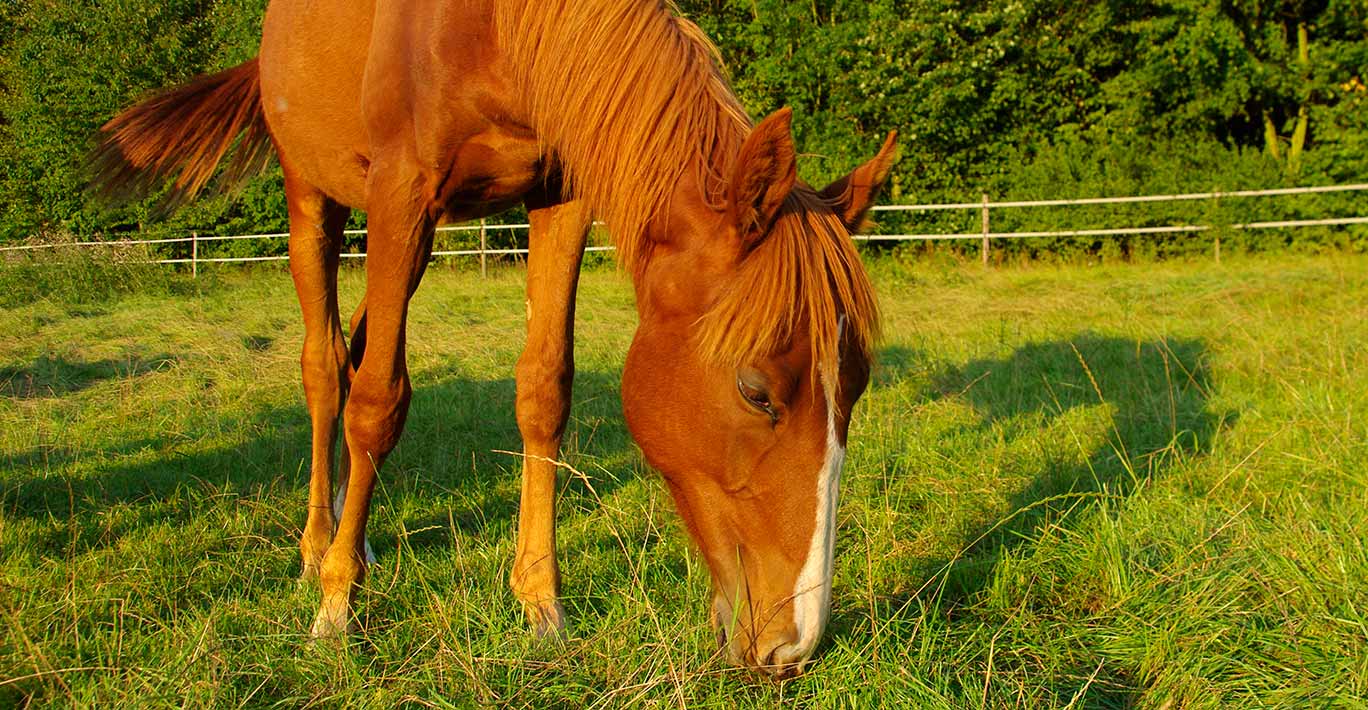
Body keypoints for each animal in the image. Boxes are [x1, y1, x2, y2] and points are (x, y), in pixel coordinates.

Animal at [90, 0, 891, 678]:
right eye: (757, 392)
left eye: (858, 390)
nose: (795, 645)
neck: (489, 27)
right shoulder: (402, 190)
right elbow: (377, 404)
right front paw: (337, 605)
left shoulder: (558, 193)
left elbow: (543, 389)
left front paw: (541, 602)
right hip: (314, 197)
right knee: (326, 369)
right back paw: (321, 547)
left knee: (359, 349)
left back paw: (359, 535)